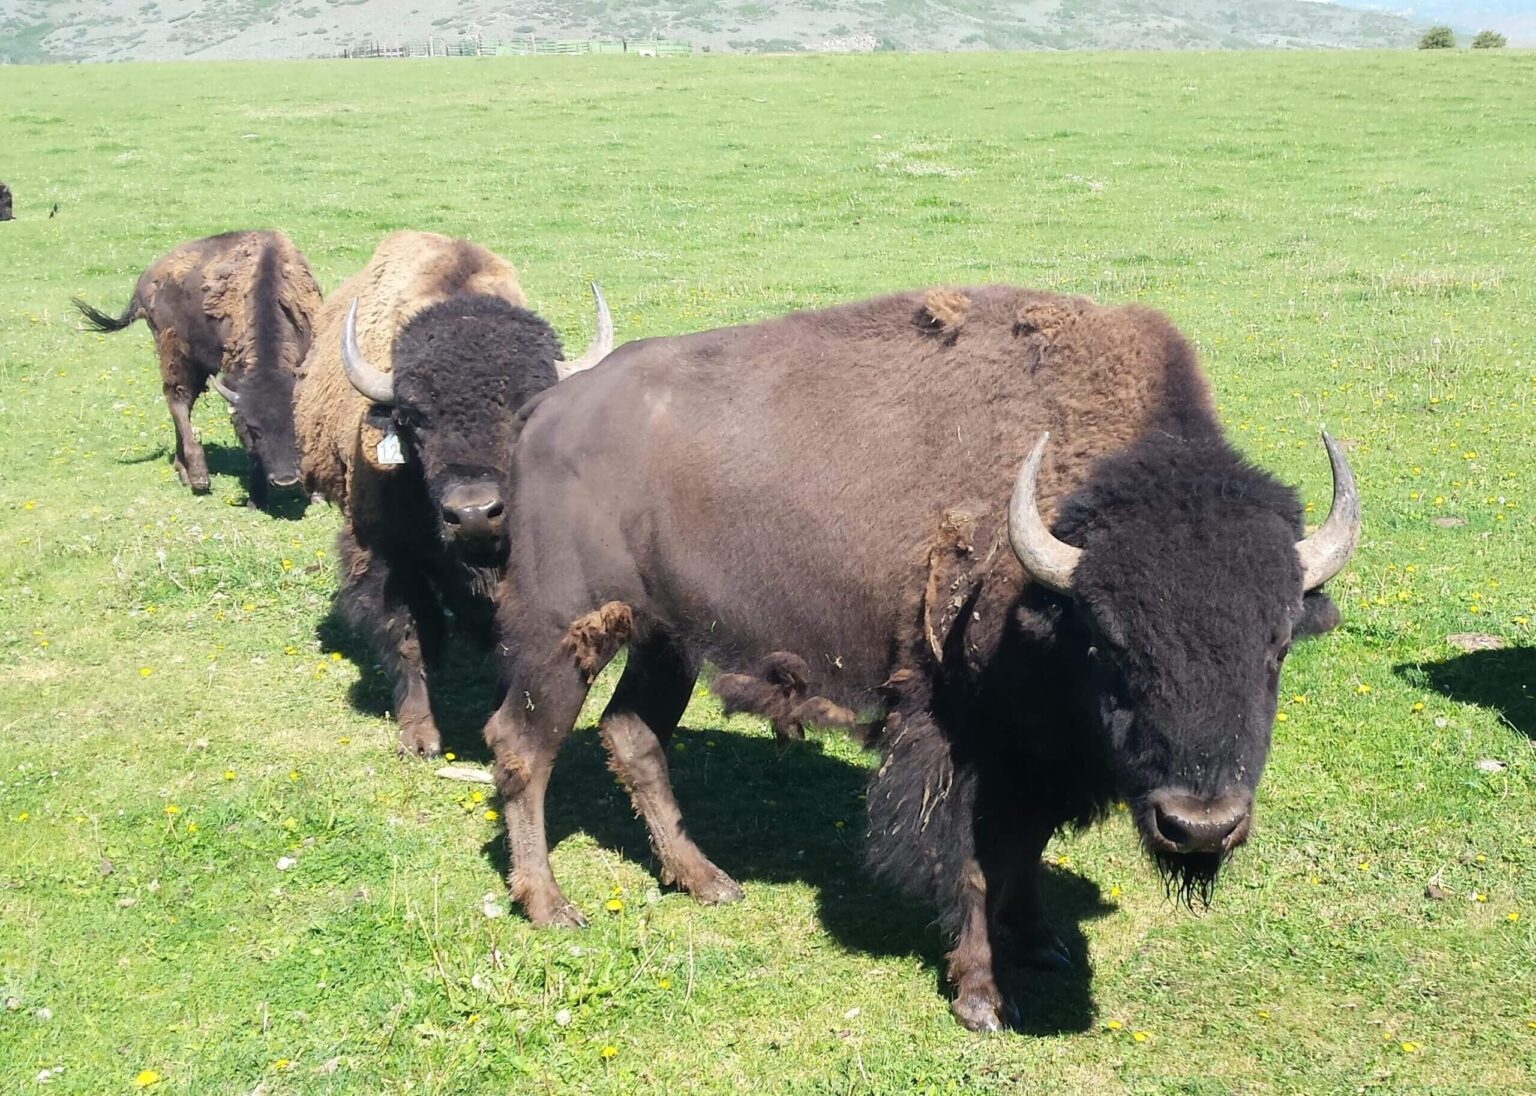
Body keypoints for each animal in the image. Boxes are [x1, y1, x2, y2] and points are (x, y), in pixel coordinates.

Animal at [72, 231, 323, 506]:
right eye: (253, 428)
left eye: (296, 426)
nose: (285, 480)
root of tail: (146, 280)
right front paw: (255, 498)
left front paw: (316, 495)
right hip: (176, 355)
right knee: (178, 401)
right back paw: (198, 477)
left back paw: (182, 469)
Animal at [295, 230, 612, 757]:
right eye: (413, 418)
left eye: (525, 404)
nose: (474, 514)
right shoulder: (385, 553)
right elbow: (408, 633)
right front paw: (419, 738)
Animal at [482, 286, 1359, 1031]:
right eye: (1108, 640)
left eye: (1277, 644)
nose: (1201, 825)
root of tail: (547, 408)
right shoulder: (955, 736)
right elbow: (968, 859)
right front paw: (980, 998)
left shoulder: (1036, 753)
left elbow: (1024, 846)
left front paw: (1038, 940)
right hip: (563, 634)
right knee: (522, 748)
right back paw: (551, 906)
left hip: (667, 640)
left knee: (633, 736)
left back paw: (707, 882)